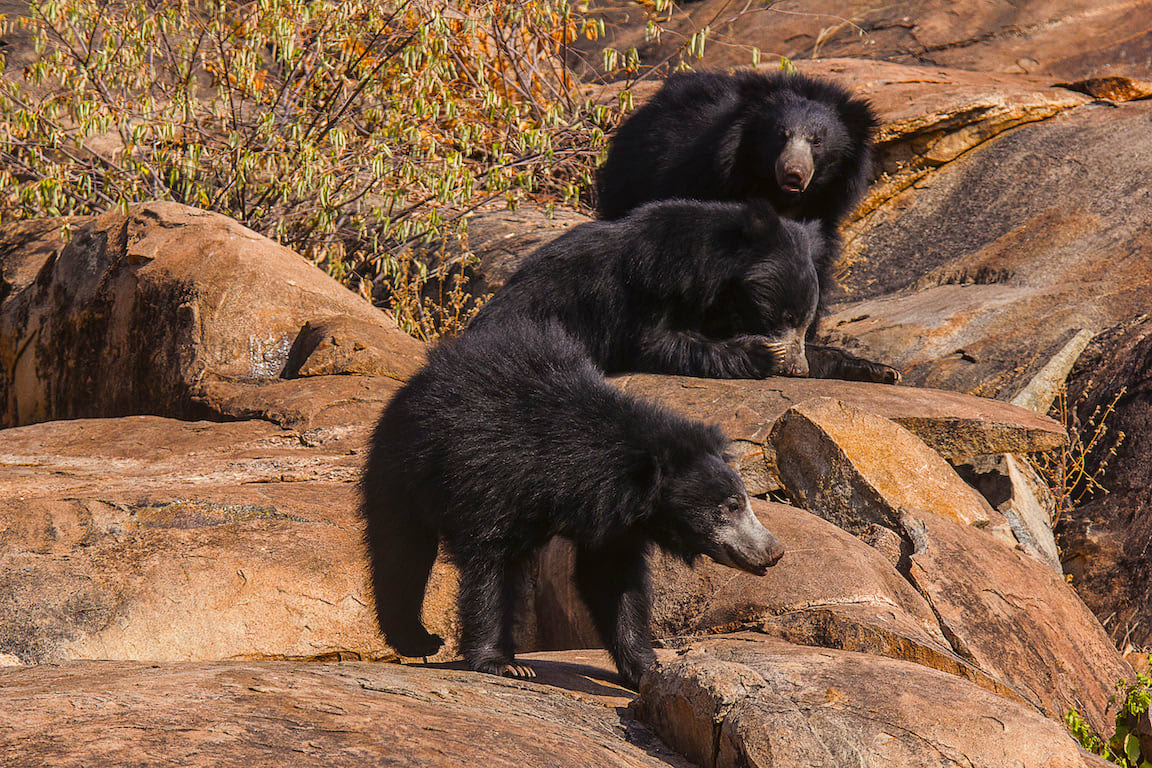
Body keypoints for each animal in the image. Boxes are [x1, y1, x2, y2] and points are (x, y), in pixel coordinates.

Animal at [359, 322, 783, 686]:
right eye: (731, 505)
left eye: (743, 501)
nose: (774, 551)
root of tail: (417, 380)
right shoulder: (493, 475)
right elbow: (491, 564)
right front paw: (505, 664)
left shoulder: (617, 522)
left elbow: (611, 580)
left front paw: (645, 666)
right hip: (405, 465)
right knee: (400, 551)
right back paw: (419, 639)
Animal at [472, 196, 824, 379]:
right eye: (788, 317)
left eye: (807, 323)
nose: (799, 369)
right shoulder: (646, 288)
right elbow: (653, 343)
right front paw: (764, 354)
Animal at [594, 70, 898, 384]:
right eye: (781, 134)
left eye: (817, 141)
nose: (793, 173)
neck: (778, 194)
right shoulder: (705, 178)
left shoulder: (823, 210)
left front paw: (875, 368)